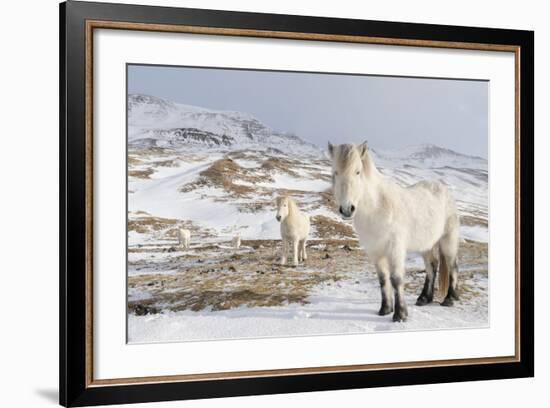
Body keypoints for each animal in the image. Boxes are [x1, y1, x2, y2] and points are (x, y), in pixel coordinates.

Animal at [330, 143, 464, 322]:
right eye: (335, 172)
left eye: (357, 171)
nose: (346, 209)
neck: (378, 207)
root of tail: (443, 189)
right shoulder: (375, 252)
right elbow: (383, 279)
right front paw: (385, 309)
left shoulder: (395, 249)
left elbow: (396, 279)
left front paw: (400, 314)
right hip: (426, 245)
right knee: (432, 266)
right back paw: (424, 298)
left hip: (448, 240)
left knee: (452, 265)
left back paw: (449, 299)